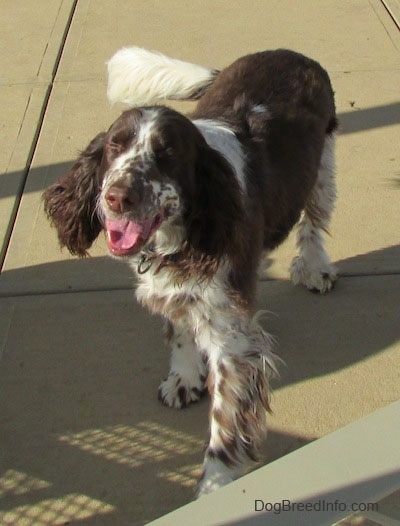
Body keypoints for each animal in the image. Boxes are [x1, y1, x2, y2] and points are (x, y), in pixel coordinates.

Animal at [43, 47, 338, 498]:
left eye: (168, 154)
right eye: (114, 146)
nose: (117, 197)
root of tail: (290, 53)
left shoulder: (233, 343)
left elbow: (225, 423)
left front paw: (215, 487)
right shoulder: (175, 289)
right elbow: (180, 329)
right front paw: (183, 379)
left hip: (322, 166)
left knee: (313, 222)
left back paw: (315, 267)